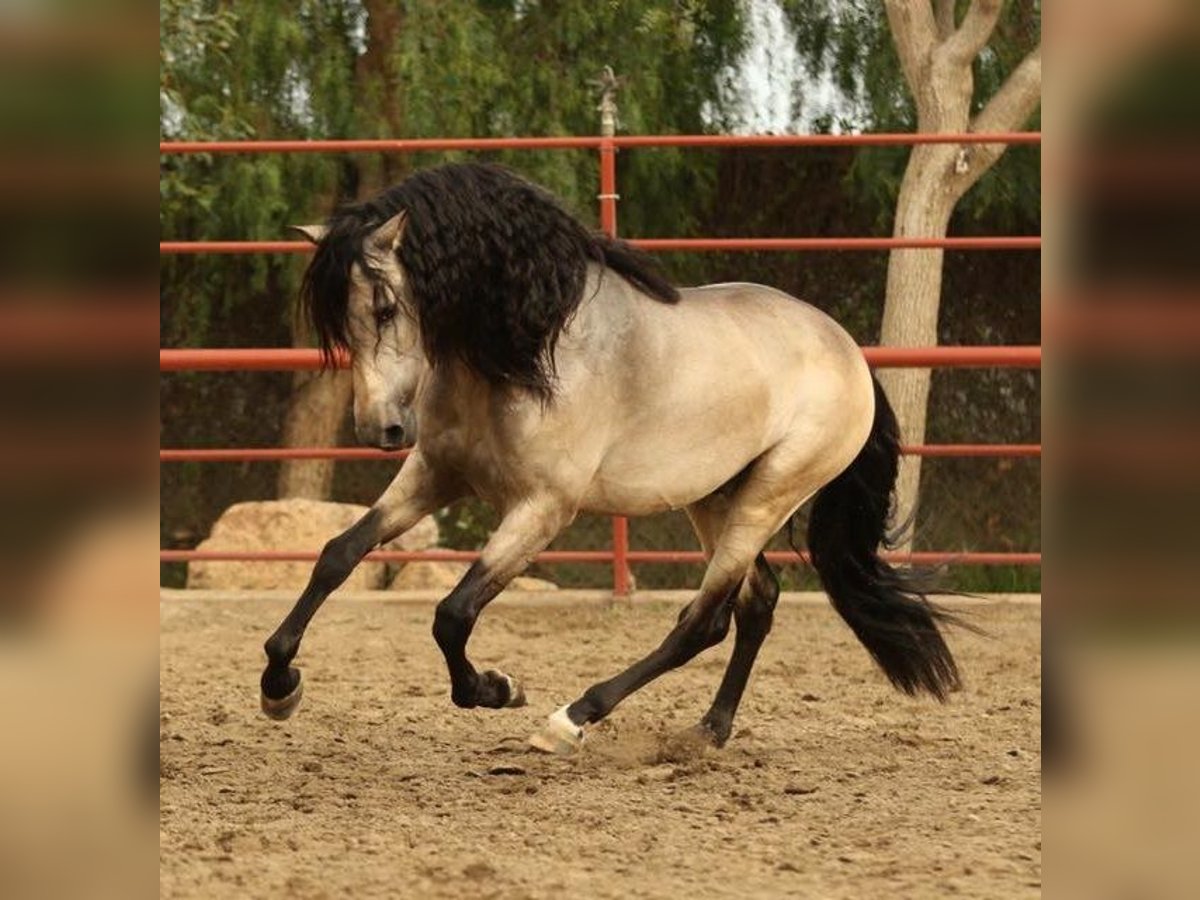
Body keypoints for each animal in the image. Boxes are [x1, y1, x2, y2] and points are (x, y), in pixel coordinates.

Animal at [258, 160, 960, 753]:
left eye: (383, 307)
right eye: (336, 324)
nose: (379, 427)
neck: (524, 349)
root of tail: (850, 353)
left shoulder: (542, 508)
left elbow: (452, 614)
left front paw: (497, 689)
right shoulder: (436, 473)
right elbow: (338, 555)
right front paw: (279, 687)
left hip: (770, 495)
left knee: (703, 621)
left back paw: (571, 719)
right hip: (715, 497)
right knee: (756, 603)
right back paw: (709, 730)